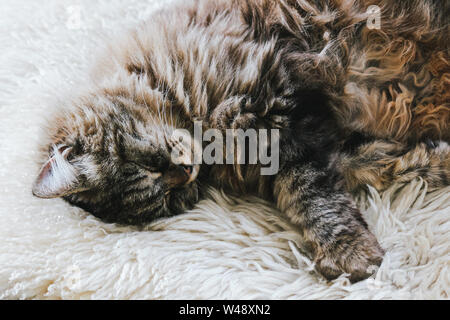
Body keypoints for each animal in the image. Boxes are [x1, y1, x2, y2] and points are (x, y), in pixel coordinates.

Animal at [31, 0, 450, 282]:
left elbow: (308, 194)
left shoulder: (287, 105)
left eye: (150, 162)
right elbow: (383, 166)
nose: (185, 172)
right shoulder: (329, 142)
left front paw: (349, 256)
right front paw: (439, 163)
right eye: (169, 198)